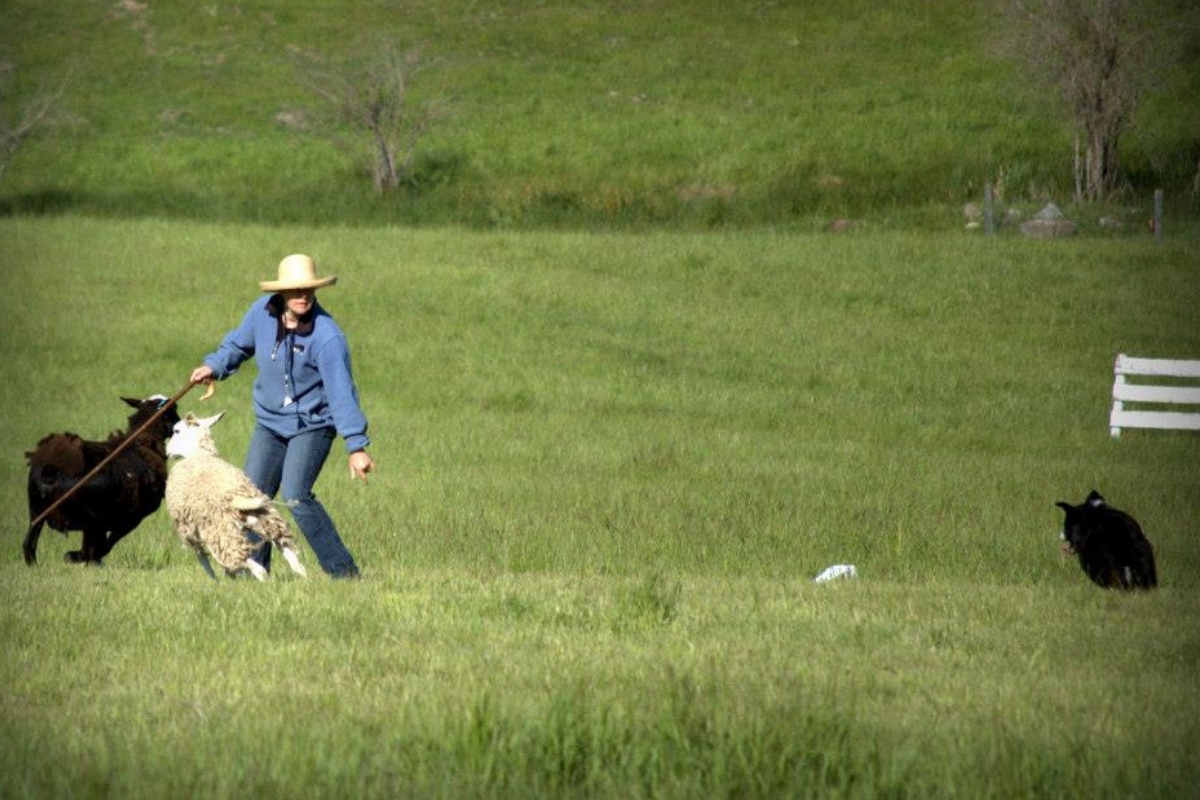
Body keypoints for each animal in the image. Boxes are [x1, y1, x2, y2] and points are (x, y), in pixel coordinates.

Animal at [24, 395, 181, 566]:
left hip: (37, 510)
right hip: (90, 516)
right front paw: (78, 557)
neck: (142, 445)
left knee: (29, 545)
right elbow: (104, 545)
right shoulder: (131, 517)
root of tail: (52, 467)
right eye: (172, 411)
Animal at [164, 412, 307, 580]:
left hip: (222, 532)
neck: (199, 454)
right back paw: (305, 578)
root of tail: (234, 497)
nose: (167, 451)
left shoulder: (188, 529)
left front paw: (214, 580)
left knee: (251, 565)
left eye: (176, 431)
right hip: (267, 521)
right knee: (293, 559)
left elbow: (202, 559)